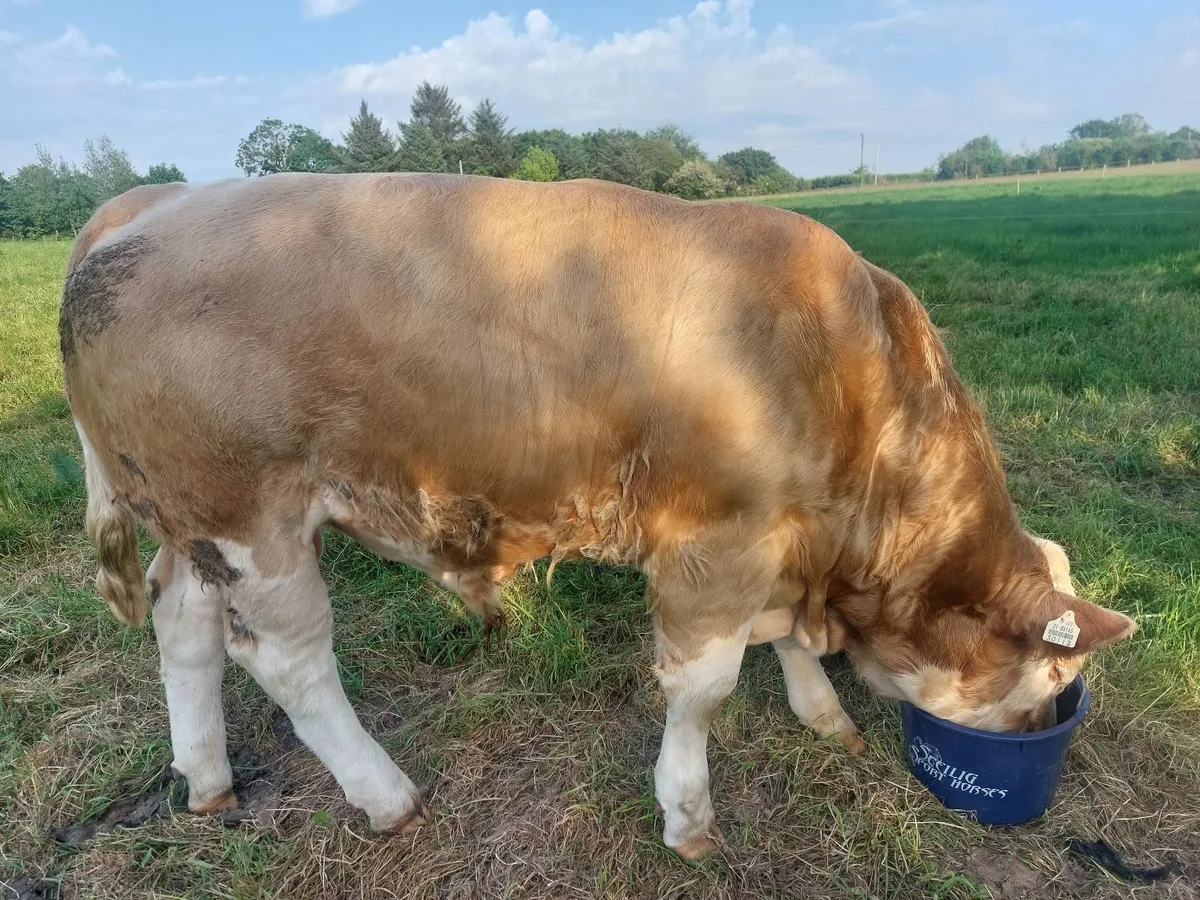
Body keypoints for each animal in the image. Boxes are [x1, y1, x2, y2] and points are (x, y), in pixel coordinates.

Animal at [60, 173, 1136, 860]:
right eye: (1054, 671)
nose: (1047, 726)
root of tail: (148, 203)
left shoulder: (784, 542)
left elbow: (783, 641)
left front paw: (823, 712)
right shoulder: (717, 543)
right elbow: (704, 688)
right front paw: (689, 817)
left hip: (190, 522)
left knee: (182, 623)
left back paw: (207, 776)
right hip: (252, 520)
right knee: (289, 662)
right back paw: (386, 795)